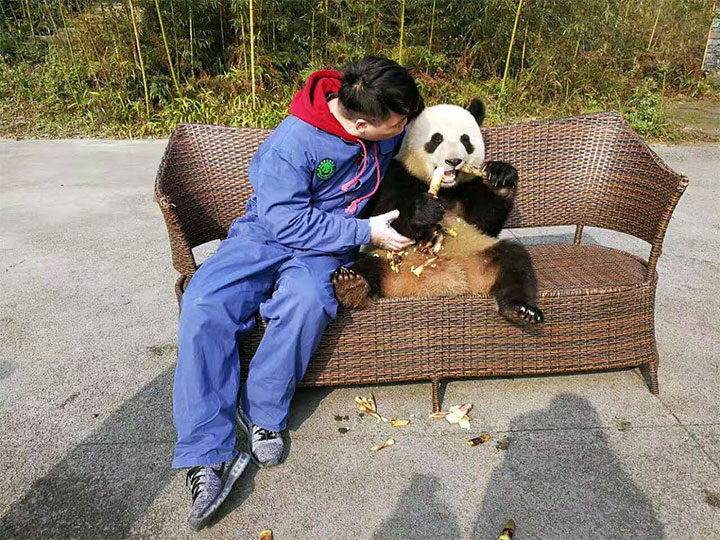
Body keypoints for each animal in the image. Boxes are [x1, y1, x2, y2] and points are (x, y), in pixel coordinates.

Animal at [332, 97, 544, 324]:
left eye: (465, 140)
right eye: (436, 138)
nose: (453, 161)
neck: (444, 187)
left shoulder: (467, 188)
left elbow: (484, 222)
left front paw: (501, 176)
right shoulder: (396, 175)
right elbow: (385, 213)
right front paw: (423, 212)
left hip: (480, 253)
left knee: (514, 261)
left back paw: (521, 309)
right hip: (386, 258)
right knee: (366, 264)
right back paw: (351, 285)